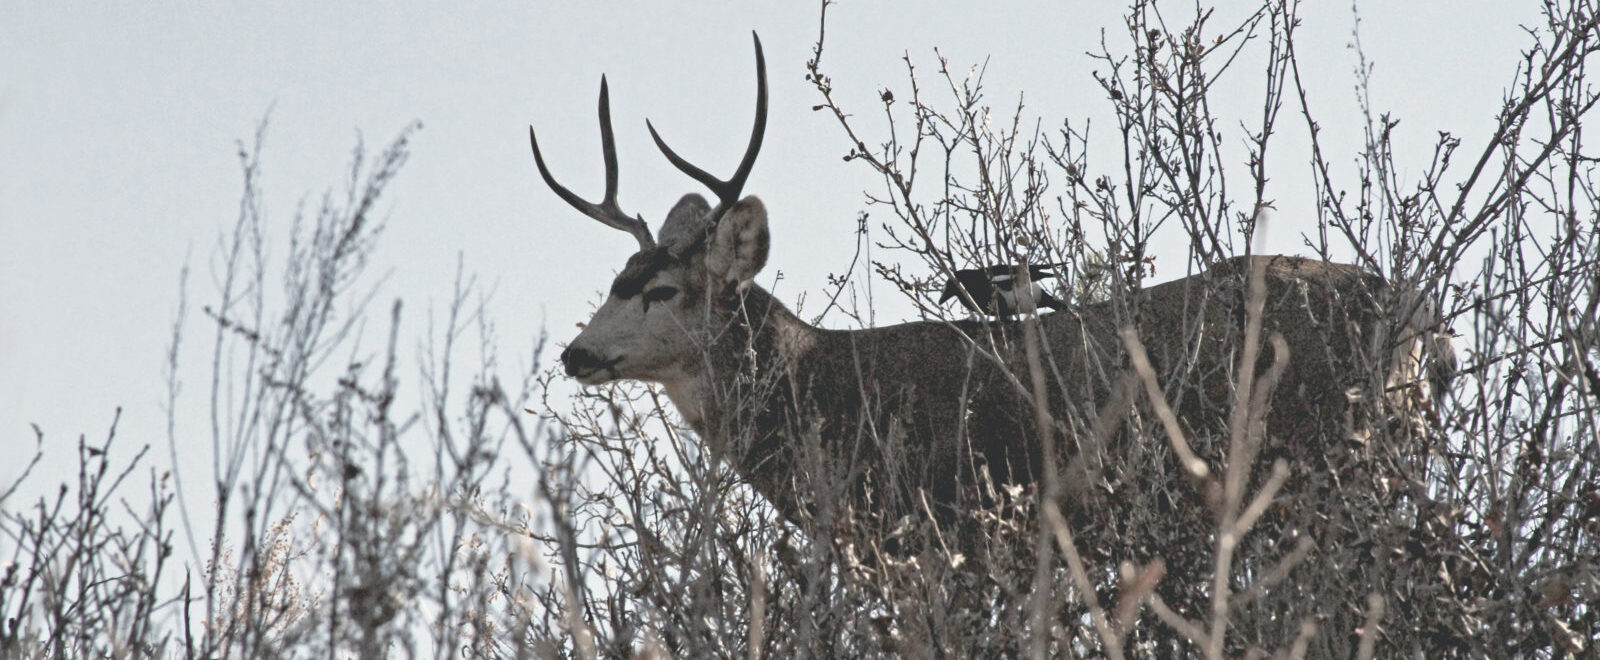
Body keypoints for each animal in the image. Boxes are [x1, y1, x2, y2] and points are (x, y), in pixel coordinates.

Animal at [531, 34, 1459, 551]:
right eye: (614, 281)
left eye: (662, 290)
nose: (576, 353)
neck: (822, 397)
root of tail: (1425, 320)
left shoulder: (943, 525)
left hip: (1340, 457)